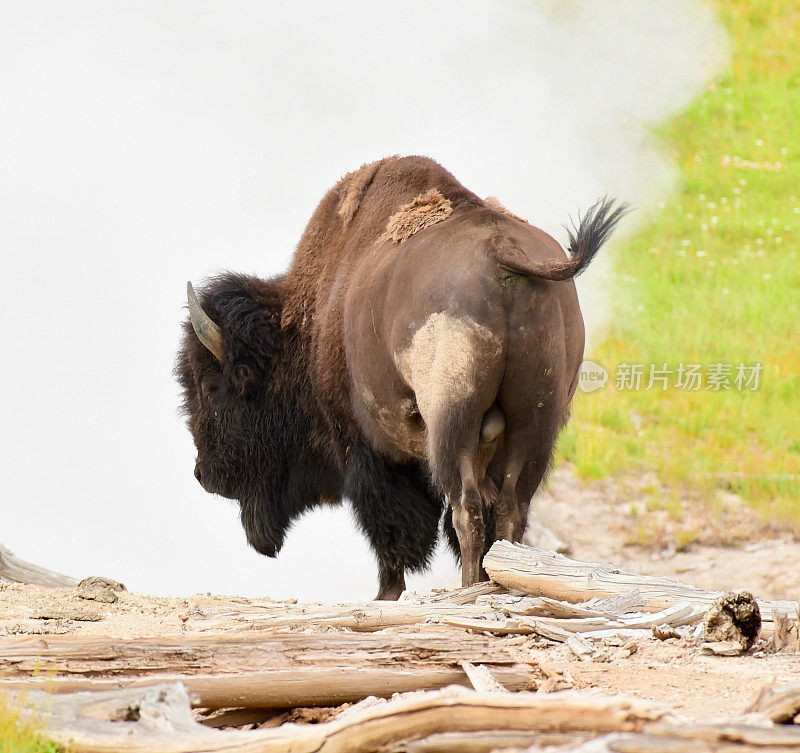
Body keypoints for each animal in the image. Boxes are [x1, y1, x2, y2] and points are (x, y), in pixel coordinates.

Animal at [175, 154, 624, 600]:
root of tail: (502, 252)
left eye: (211, 387)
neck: (309, 318)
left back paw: (468, 588)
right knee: (511, 507)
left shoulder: (364, 448)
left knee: (466, 508)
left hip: (451, 423)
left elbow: (389, 528)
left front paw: (385, 594)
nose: (202, 473)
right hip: (536, 422)